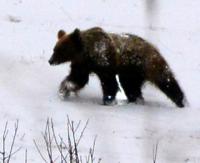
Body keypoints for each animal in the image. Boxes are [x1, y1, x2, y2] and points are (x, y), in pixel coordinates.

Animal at [48, 26, 186, 107]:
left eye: (59, 50)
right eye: (54, 48)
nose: (50, 60)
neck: (87, 53)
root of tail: (154, 47)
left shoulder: (104, 62)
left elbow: (109, 83)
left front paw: (108, 100)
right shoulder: (82, 65)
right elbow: (77, 79)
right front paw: (64, 89)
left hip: (147, 64)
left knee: (166, 81)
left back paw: (181, 101)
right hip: (131, 73)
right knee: (131, 87)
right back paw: (135, 100)